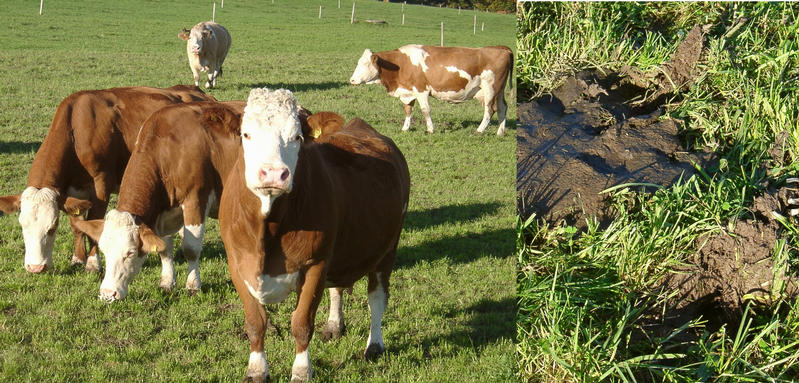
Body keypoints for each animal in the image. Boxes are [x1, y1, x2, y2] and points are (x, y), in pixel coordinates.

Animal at [0, 85, 214, 274]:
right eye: (22, 224)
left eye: (52, 227)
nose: (35, 268)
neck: (76, 130)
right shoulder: (72, 192)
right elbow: (77, 226)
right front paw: (77, 259)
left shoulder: (101, 184)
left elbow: (93, 222)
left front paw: (93, 264)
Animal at [74, 100, 250, 302]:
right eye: (104, 250)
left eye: (130, 253)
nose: (108, 293)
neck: (169, 151)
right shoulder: (164, 214)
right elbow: (164, 249)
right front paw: (166, 283)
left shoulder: (196, 200)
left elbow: (191, 249)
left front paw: (193, 286)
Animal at [214, 88, 410, 382]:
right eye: (246, 134)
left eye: (297, 137)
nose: (274, 174)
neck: (268, 229)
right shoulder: (238, 265)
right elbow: (255, 322)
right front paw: (256, 369)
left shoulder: (315, 264)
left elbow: (302, 322)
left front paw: (302, 370)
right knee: (337, 288)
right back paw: (334, 325)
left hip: (388, 247)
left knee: (377, 297)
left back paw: (374, 345)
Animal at [348, 44, 512, 135]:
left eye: (365, 64)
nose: (352, 80)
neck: (400, 64)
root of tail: (501, 48)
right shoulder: (409, 91)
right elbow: (408, 110)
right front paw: (405, 128)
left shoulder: (421, 90)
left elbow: (425, 110)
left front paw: (430, 129)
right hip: (499, 90)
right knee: (502, 108)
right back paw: (500, 132)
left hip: (490, 88)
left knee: (490, 110)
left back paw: (479, 130)